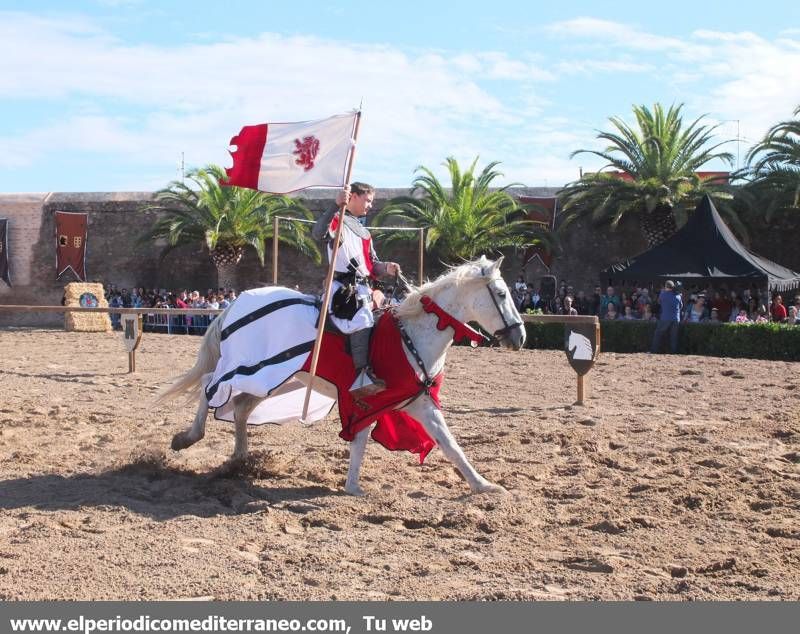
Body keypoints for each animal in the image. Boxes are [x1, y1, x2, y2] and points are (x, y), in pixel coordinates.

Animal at [159, 254, 528, 496]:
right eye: (501, 294)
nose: (520, 337)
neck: (412, 333)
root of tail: (236, 303)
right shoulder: (371, 401)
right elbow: (362, 438)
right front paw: (353, 487)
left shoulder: (416, 402)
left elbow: (449, 444)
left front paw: (483, 485)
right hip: (248, 368)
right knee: (208, 386)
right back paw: (188, 438)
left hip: (275, 380)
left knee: (240, 408)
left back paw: (238, 459)